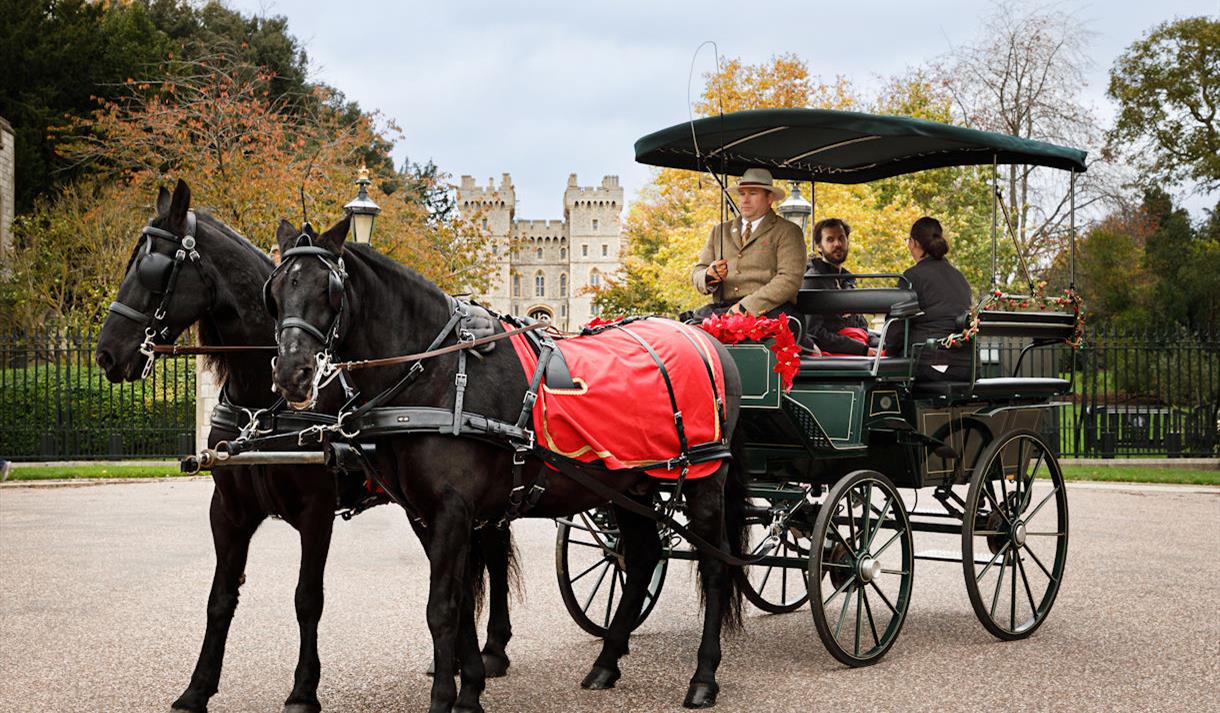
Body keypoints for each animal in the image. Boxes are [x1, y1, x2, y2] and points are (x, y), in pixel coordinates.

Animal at [91, 181, 519, 713]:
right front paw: (197, 688)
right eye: (273, 296)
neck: (263, 402)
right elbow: (220, 598)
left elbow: (306, 598)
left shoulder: (316, 510)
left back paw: (494, 648)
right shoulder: (228, 510)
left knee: (492, 555)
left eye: (152, 267)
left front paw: (303, 690)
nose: (107, 353)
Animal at [264, 218, 741, 713]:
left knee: (716, 566)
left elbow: (443, 607)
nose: (291, 374)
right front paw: (471, 687)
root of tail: (709, 339)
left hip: (704, 478)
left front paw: (445, 698)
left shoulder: (453, 510)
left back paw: (703, 676)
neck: (439, 377)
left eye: (330, 290)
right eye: (274, 292)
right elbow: (460, 601)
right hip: (633, 486)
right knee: (644, 557)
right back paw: (606, 664)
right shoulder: (428, 515)